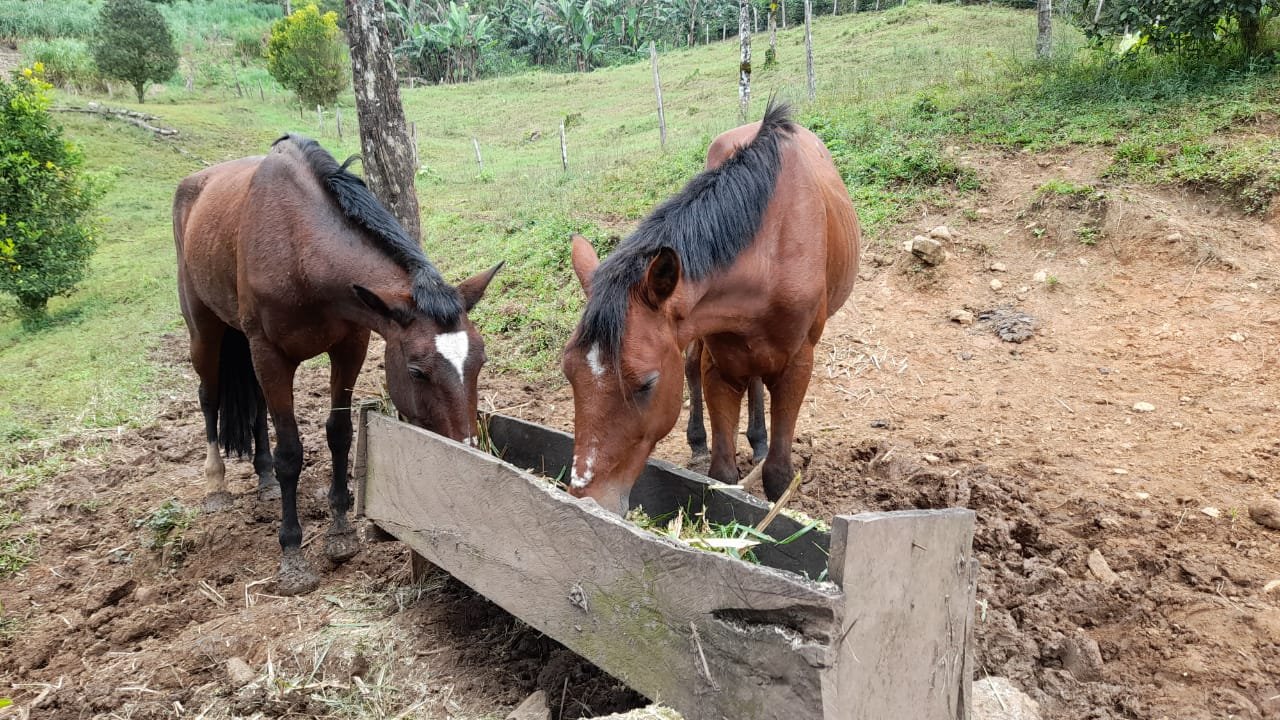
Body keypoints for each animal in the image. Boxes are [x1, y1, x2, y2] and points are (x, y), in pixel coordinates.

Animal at [174, 135, 499, 594]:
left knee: (256, 408)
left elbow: (340, 433)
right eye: (416, 372)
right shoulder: (270, 355)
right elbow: (291, 451)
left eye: (480, 361)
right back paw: (215, 484)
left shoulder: (350, 345)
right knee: (208, 397)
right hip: (204, 332)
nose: (466, 450)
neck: (299, 246)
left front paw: (341, 531)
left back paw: (264, 481)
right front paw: (292, 555)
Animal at [563, 102, 855, 515]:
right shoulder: (720, 366)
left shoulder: (797, 366)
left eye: (646, 384)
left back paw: (758, 439)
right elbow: (721, 475)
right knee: (700, 368)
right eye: (569, 373)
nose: (587, 499)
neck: (770, 249)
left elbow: (778, 476)